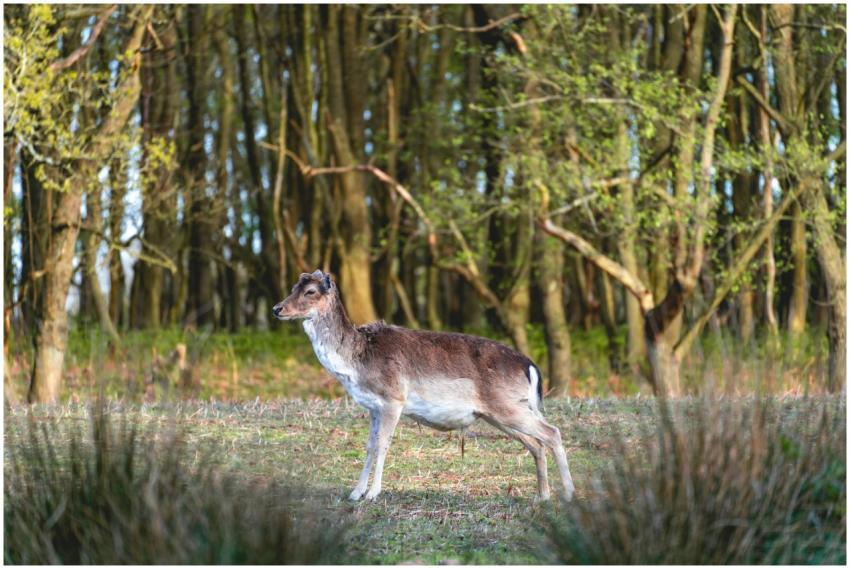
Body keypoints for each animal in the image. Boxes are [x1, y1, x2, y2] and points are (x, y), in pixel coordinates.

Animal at [273, 270, 575, 502]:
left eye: (310, 291)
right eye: (293, 287)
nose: (277, 309)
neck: (356, 363)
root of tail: (530, 365)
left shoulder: (393, 399)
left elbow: (383, 444)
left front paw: (372, 494)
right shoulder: (372, 407)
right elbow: (369, 446)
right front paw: (355, 493)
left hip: (508, 407)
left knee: (552, 433)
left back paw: (569, 494)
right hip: (501, 412)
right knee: (536, 444)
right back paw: (542, 496)